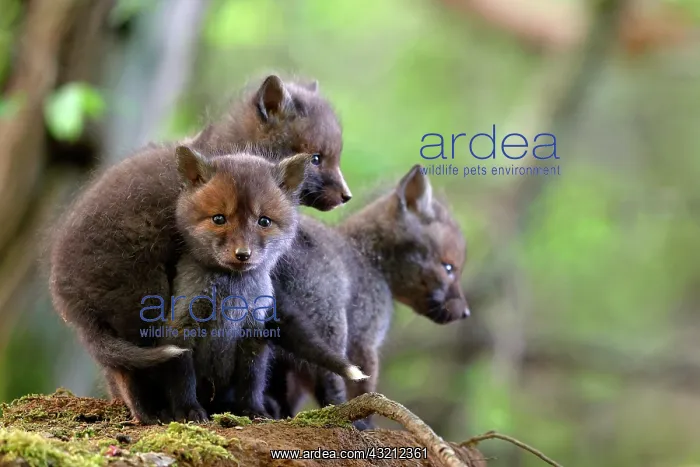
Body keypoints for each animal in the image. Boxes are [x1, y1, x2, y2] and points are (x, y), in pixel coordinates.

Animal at [264, 165, 470, 428]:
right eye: (448, 267)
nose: (466, 312)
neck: (370, 259)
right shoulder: (365, 341)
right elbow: (365, 389)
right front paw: (366, 424)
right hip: (331, 330)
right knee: (332, 385)